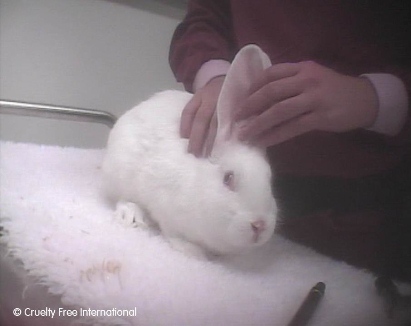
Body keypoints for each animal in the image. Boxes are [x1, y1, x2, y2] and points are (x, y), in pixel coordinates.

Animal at [101, 44, 278, 258]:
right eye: (228, 178)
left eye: (270, 180)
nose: (259, 225)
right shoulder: (166, 207)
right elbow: (172, 232)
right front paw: (193, 251)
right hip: (120, 173)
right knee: (123, 198)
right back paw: (132, 215)